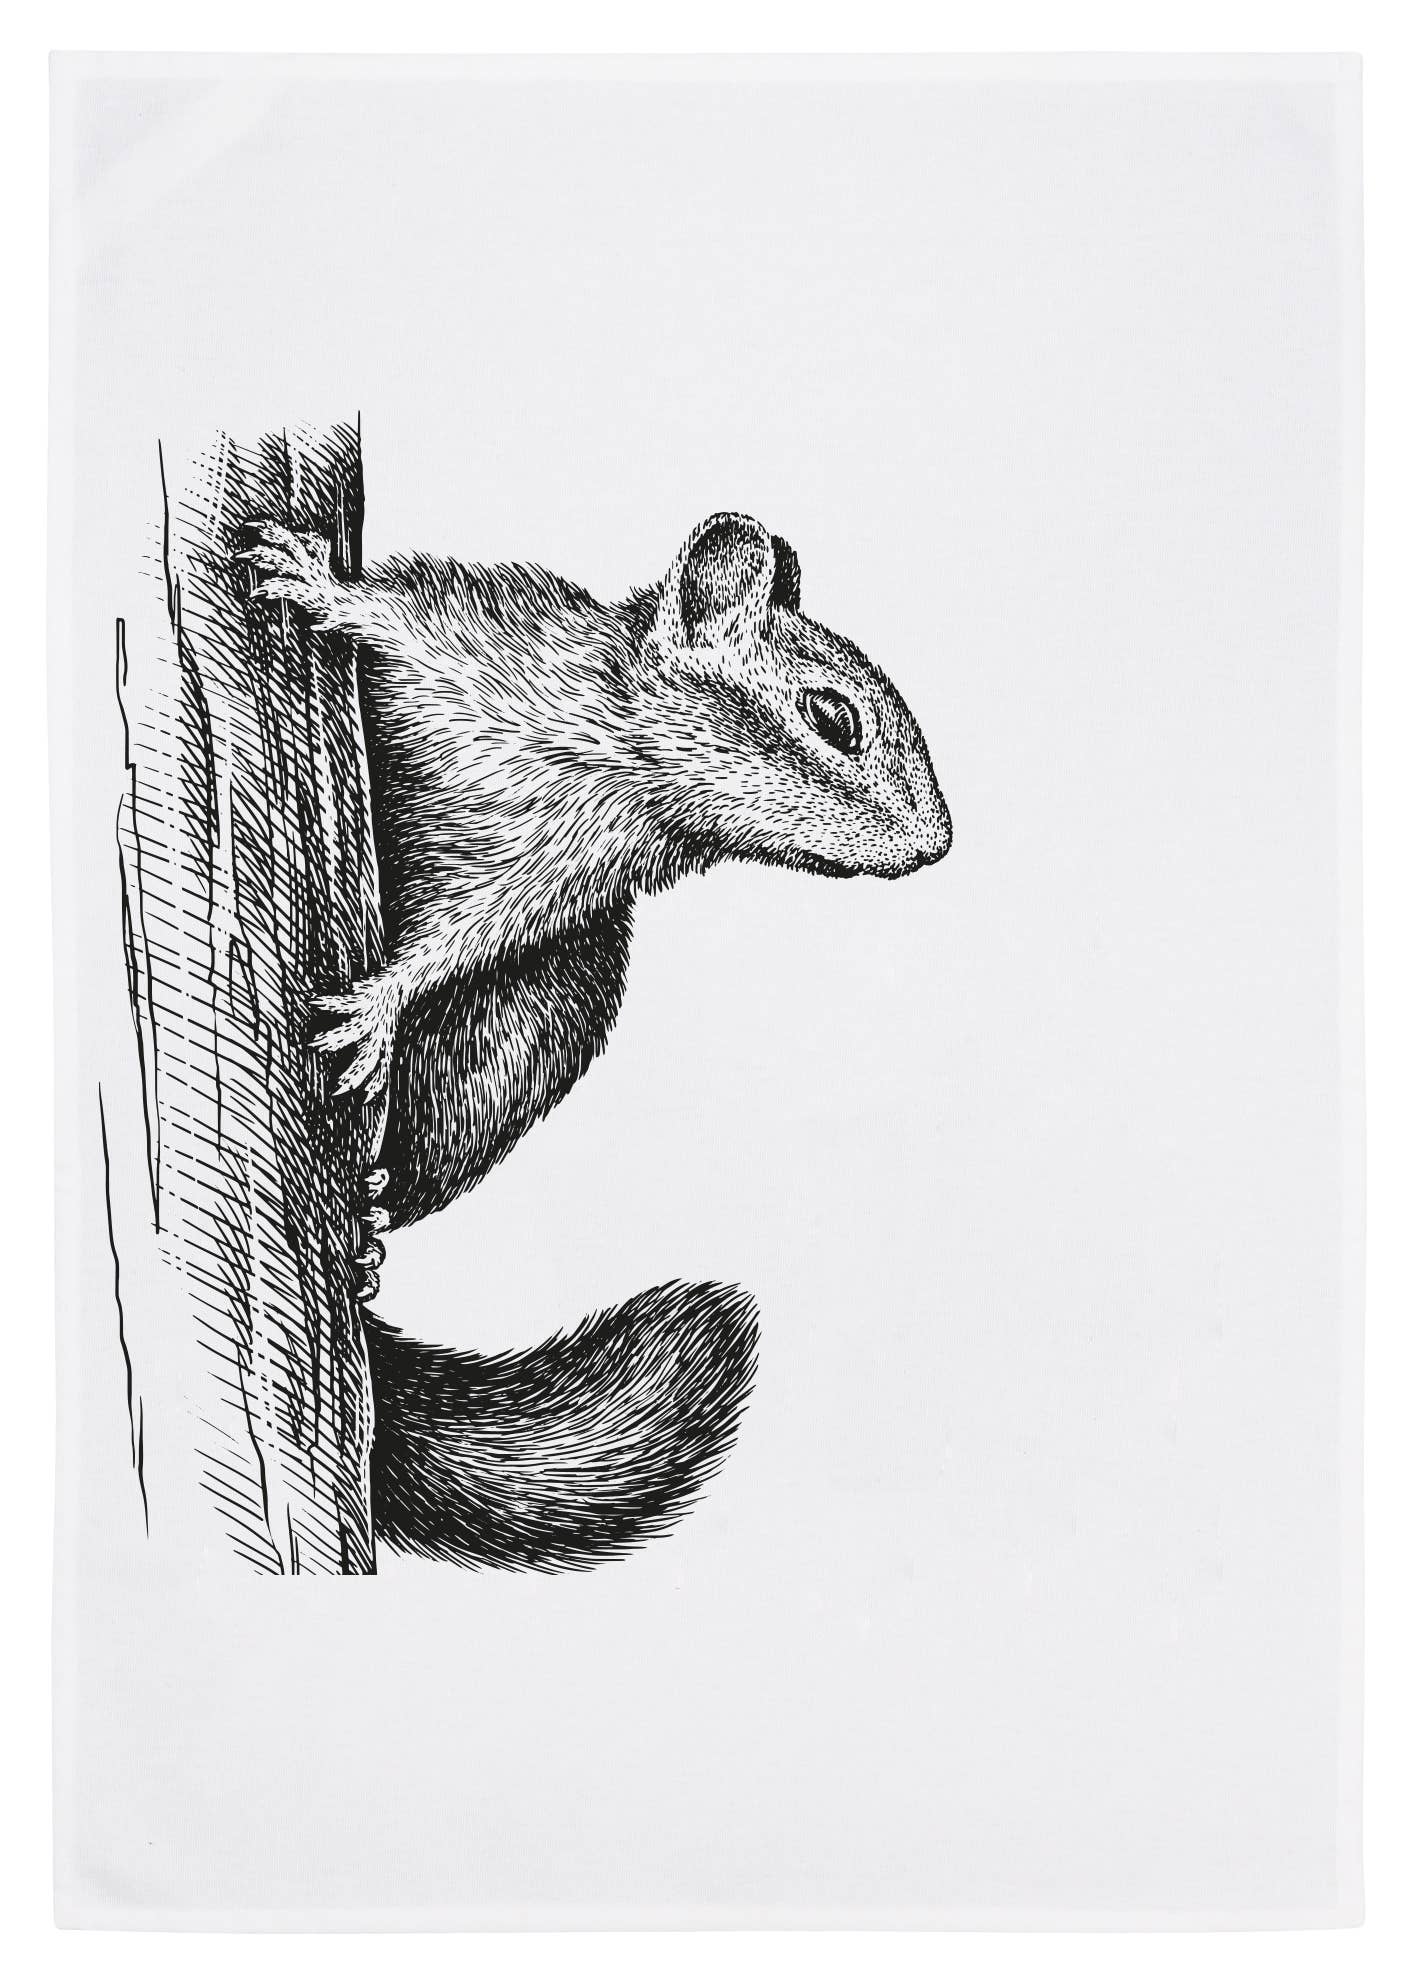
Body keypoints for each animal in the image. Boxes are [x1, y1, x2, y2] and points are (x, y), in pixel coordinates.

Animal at [240, 510, 951, 1571]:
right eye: (833, 717)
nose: (935, 845)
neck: (617, 759)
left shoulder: (544, 886)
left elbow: (448, 950)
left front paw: (377, 1006)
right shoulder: (476, 636)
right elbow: (392, 614)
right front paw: (318, 584)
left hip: (526, 1038)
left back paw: (366, 1226)